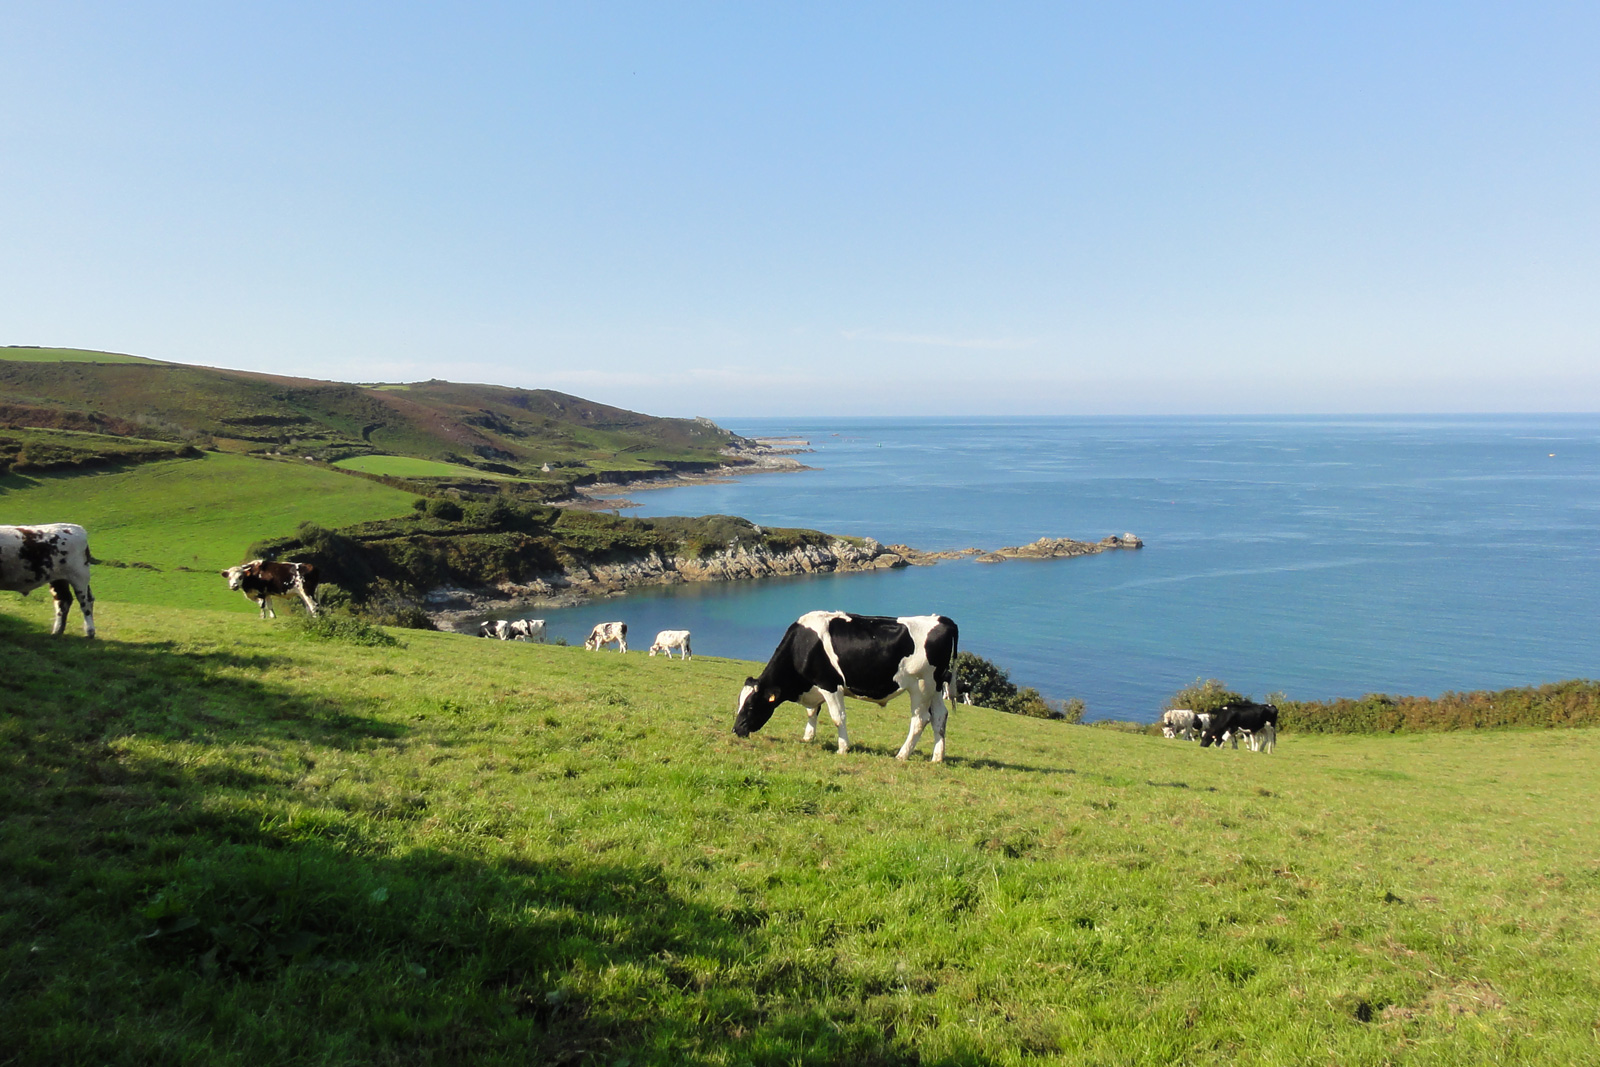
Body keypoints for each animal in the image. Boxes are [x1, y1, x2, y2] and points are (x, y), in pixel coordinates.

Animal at [736, 607, 960, 758]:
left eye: (751, 706)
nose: (736, 729)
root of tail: (942, 620)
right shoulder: (815, 686)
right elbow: (811, 712)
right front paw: (808, 737)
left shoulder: (829, 684)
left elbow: (838, 717)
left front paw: (843, 748)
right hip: (935, 686)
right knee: (940, 716)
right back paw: (937, 757)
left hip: (921, 685)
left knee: (920, 719)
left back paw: (902, 755)